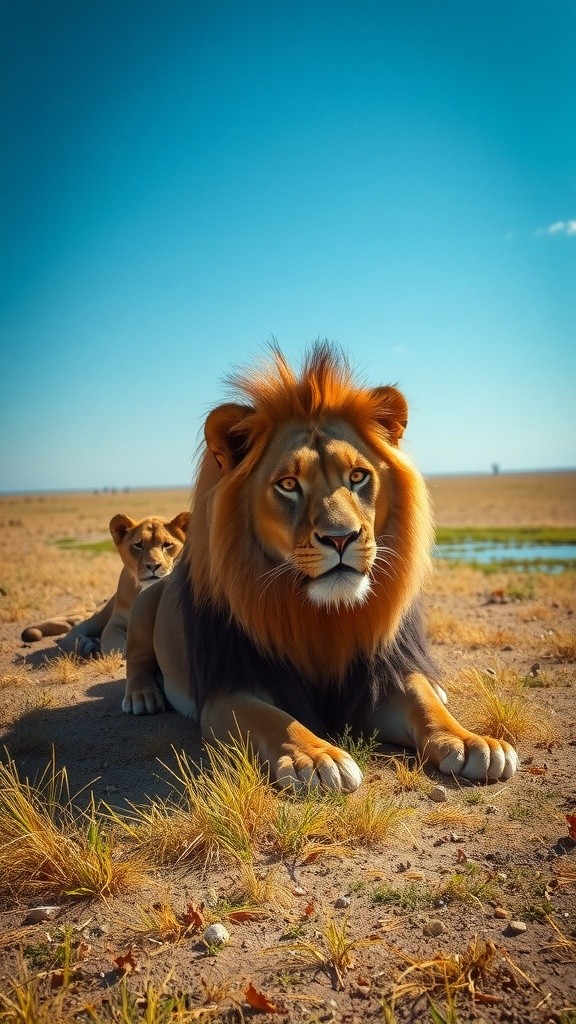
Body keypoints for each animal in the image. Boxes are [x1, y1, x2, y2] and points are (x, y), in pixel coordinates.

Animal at [21, 512, 189, 657]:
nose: (153, 566)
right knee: (73, 632)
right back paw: (86, 644)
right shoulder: (116, 622)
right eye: (138, 545)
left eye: (167, 544)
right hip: (99, 616)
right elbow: (112, 642)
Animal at [122, 343, 518, 791]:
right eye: (288, 484)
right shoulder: (228, 692)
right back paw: (143, 695)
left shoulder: (375, 680)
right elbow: (275, 719)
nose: (341, 538)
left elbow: (424, 702)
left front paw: (471, 741)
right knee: (137, 657)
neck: (323, 615)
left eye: (358, 476)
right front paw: (316, 757)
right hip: (147, 600)